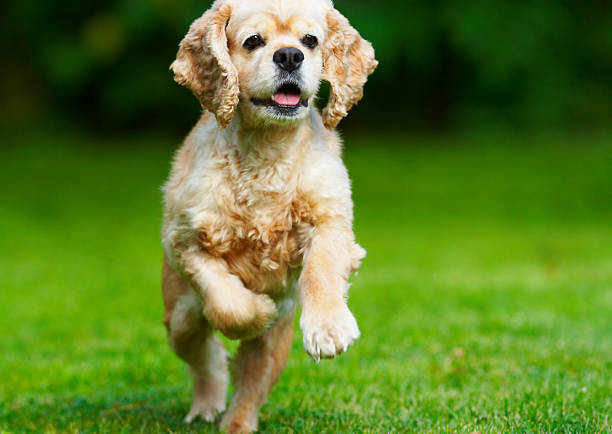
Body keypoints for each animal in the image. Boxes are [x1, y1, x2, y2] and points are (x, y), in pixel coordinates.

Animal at [160, 1, 376, 432]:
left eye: (310, 41)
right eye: (253, 41)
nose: (290, 56)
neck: (268, 146)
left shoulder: (330, 220)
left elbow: (321, 271)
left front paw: (329, 328)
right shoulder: (184, 241)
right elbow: (227, 302)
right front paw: (257, 308)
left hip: (275, 344)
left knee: (250, 385)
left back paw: (236, 422)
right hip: (178, 315)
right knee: (204, 351)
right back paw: (207, 404)